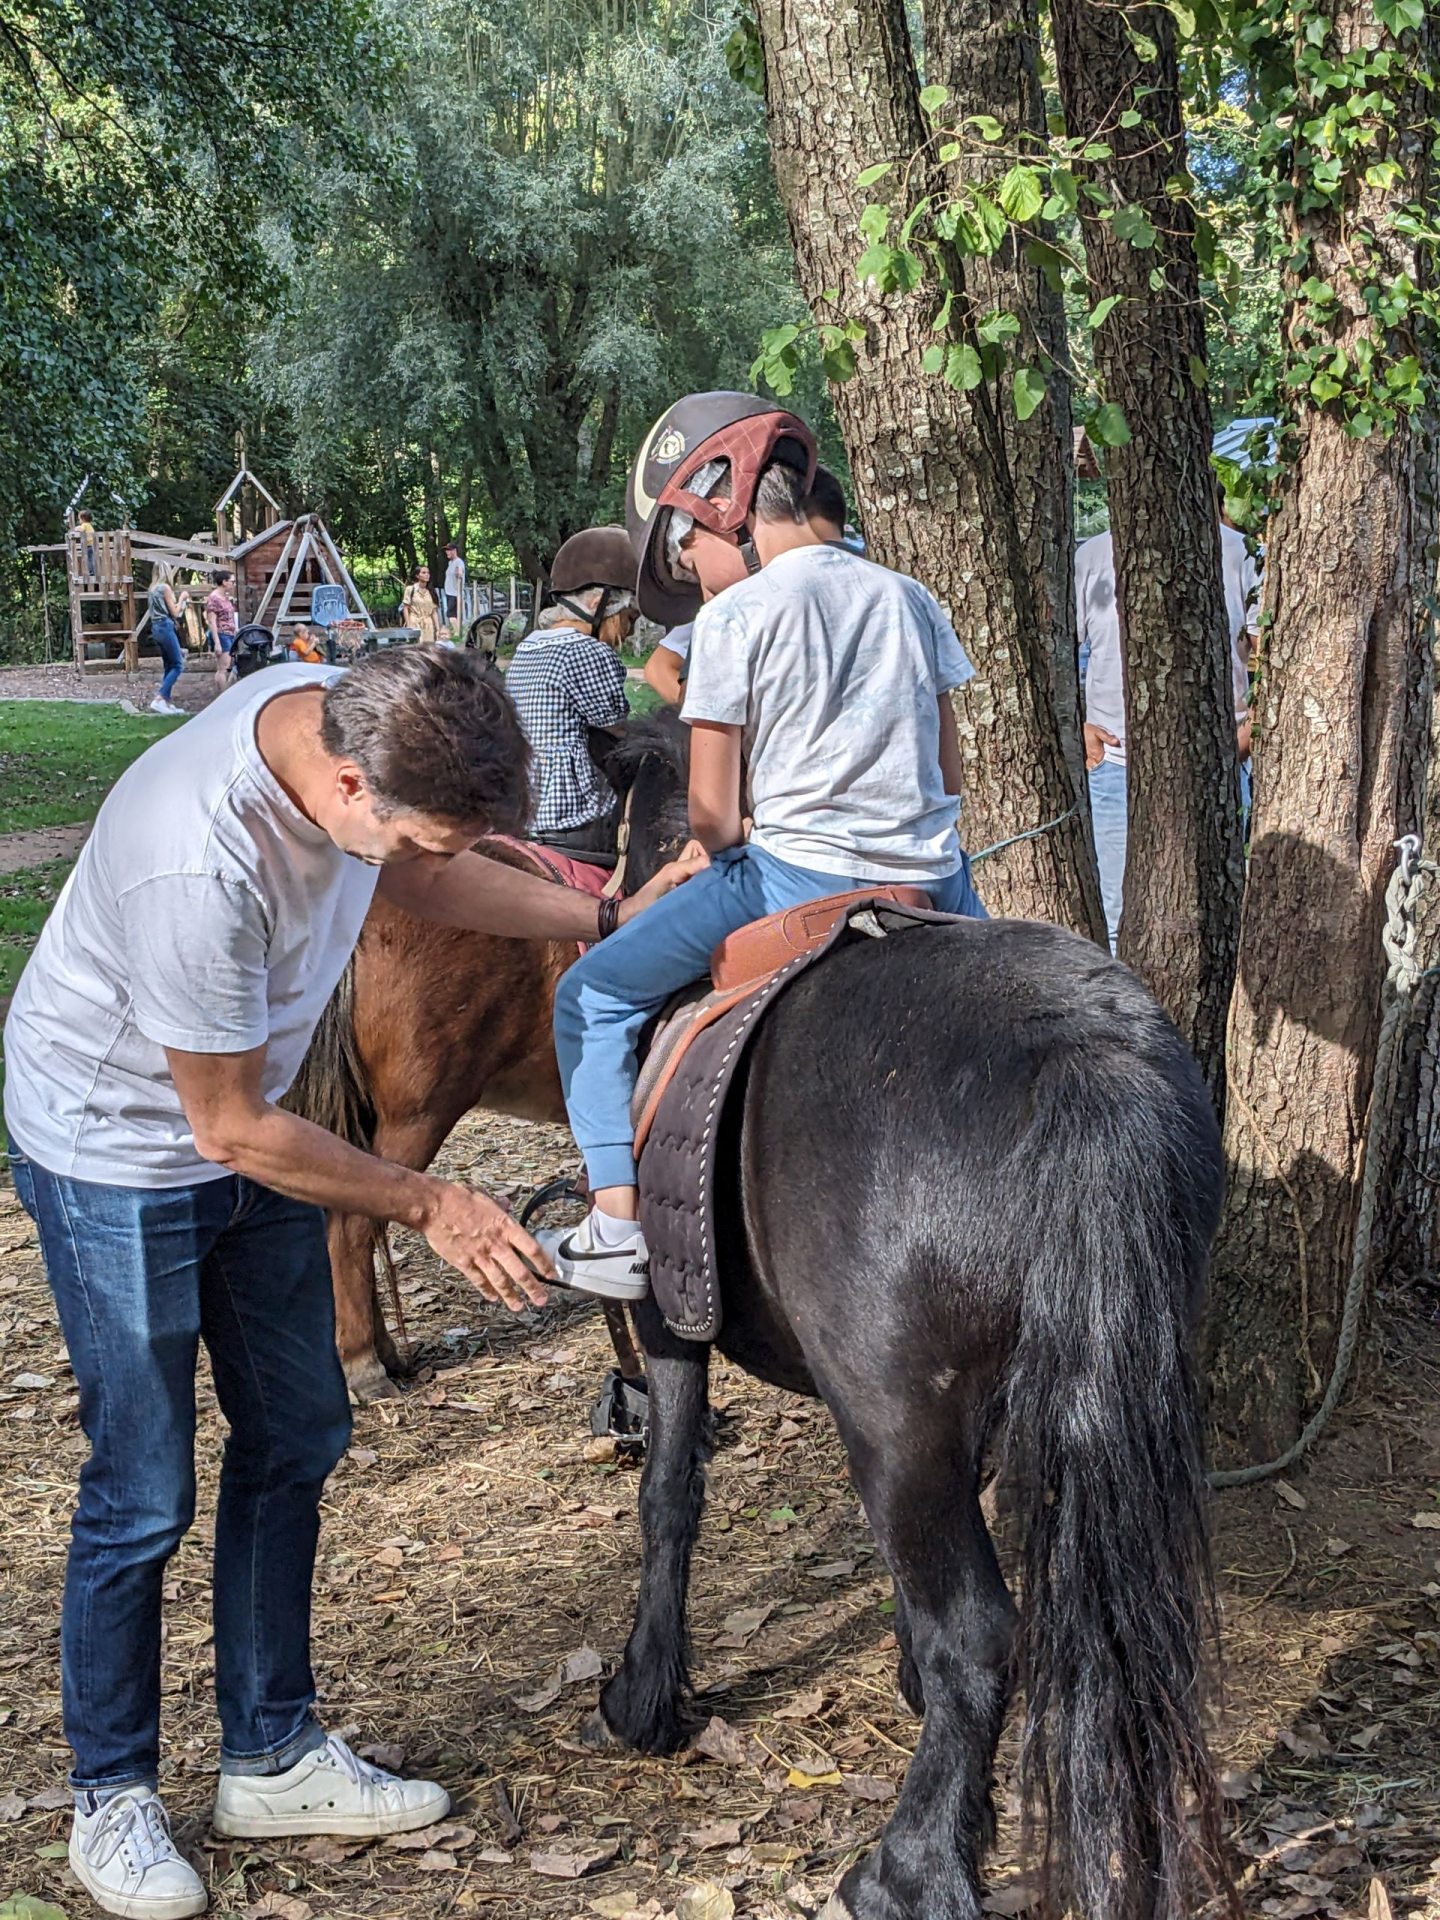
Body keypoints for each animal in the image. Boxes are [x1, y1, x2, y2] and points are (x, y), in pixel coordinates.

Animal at [579, 714, 1221, 1912]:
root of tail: (1084, 1056)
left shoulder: (671, 1330)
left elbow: (668, 1496)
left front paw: (644, 1694)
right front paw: (905, 1677)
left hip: (889, 1413)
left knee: (983, 1632)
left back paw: (909, 1865)